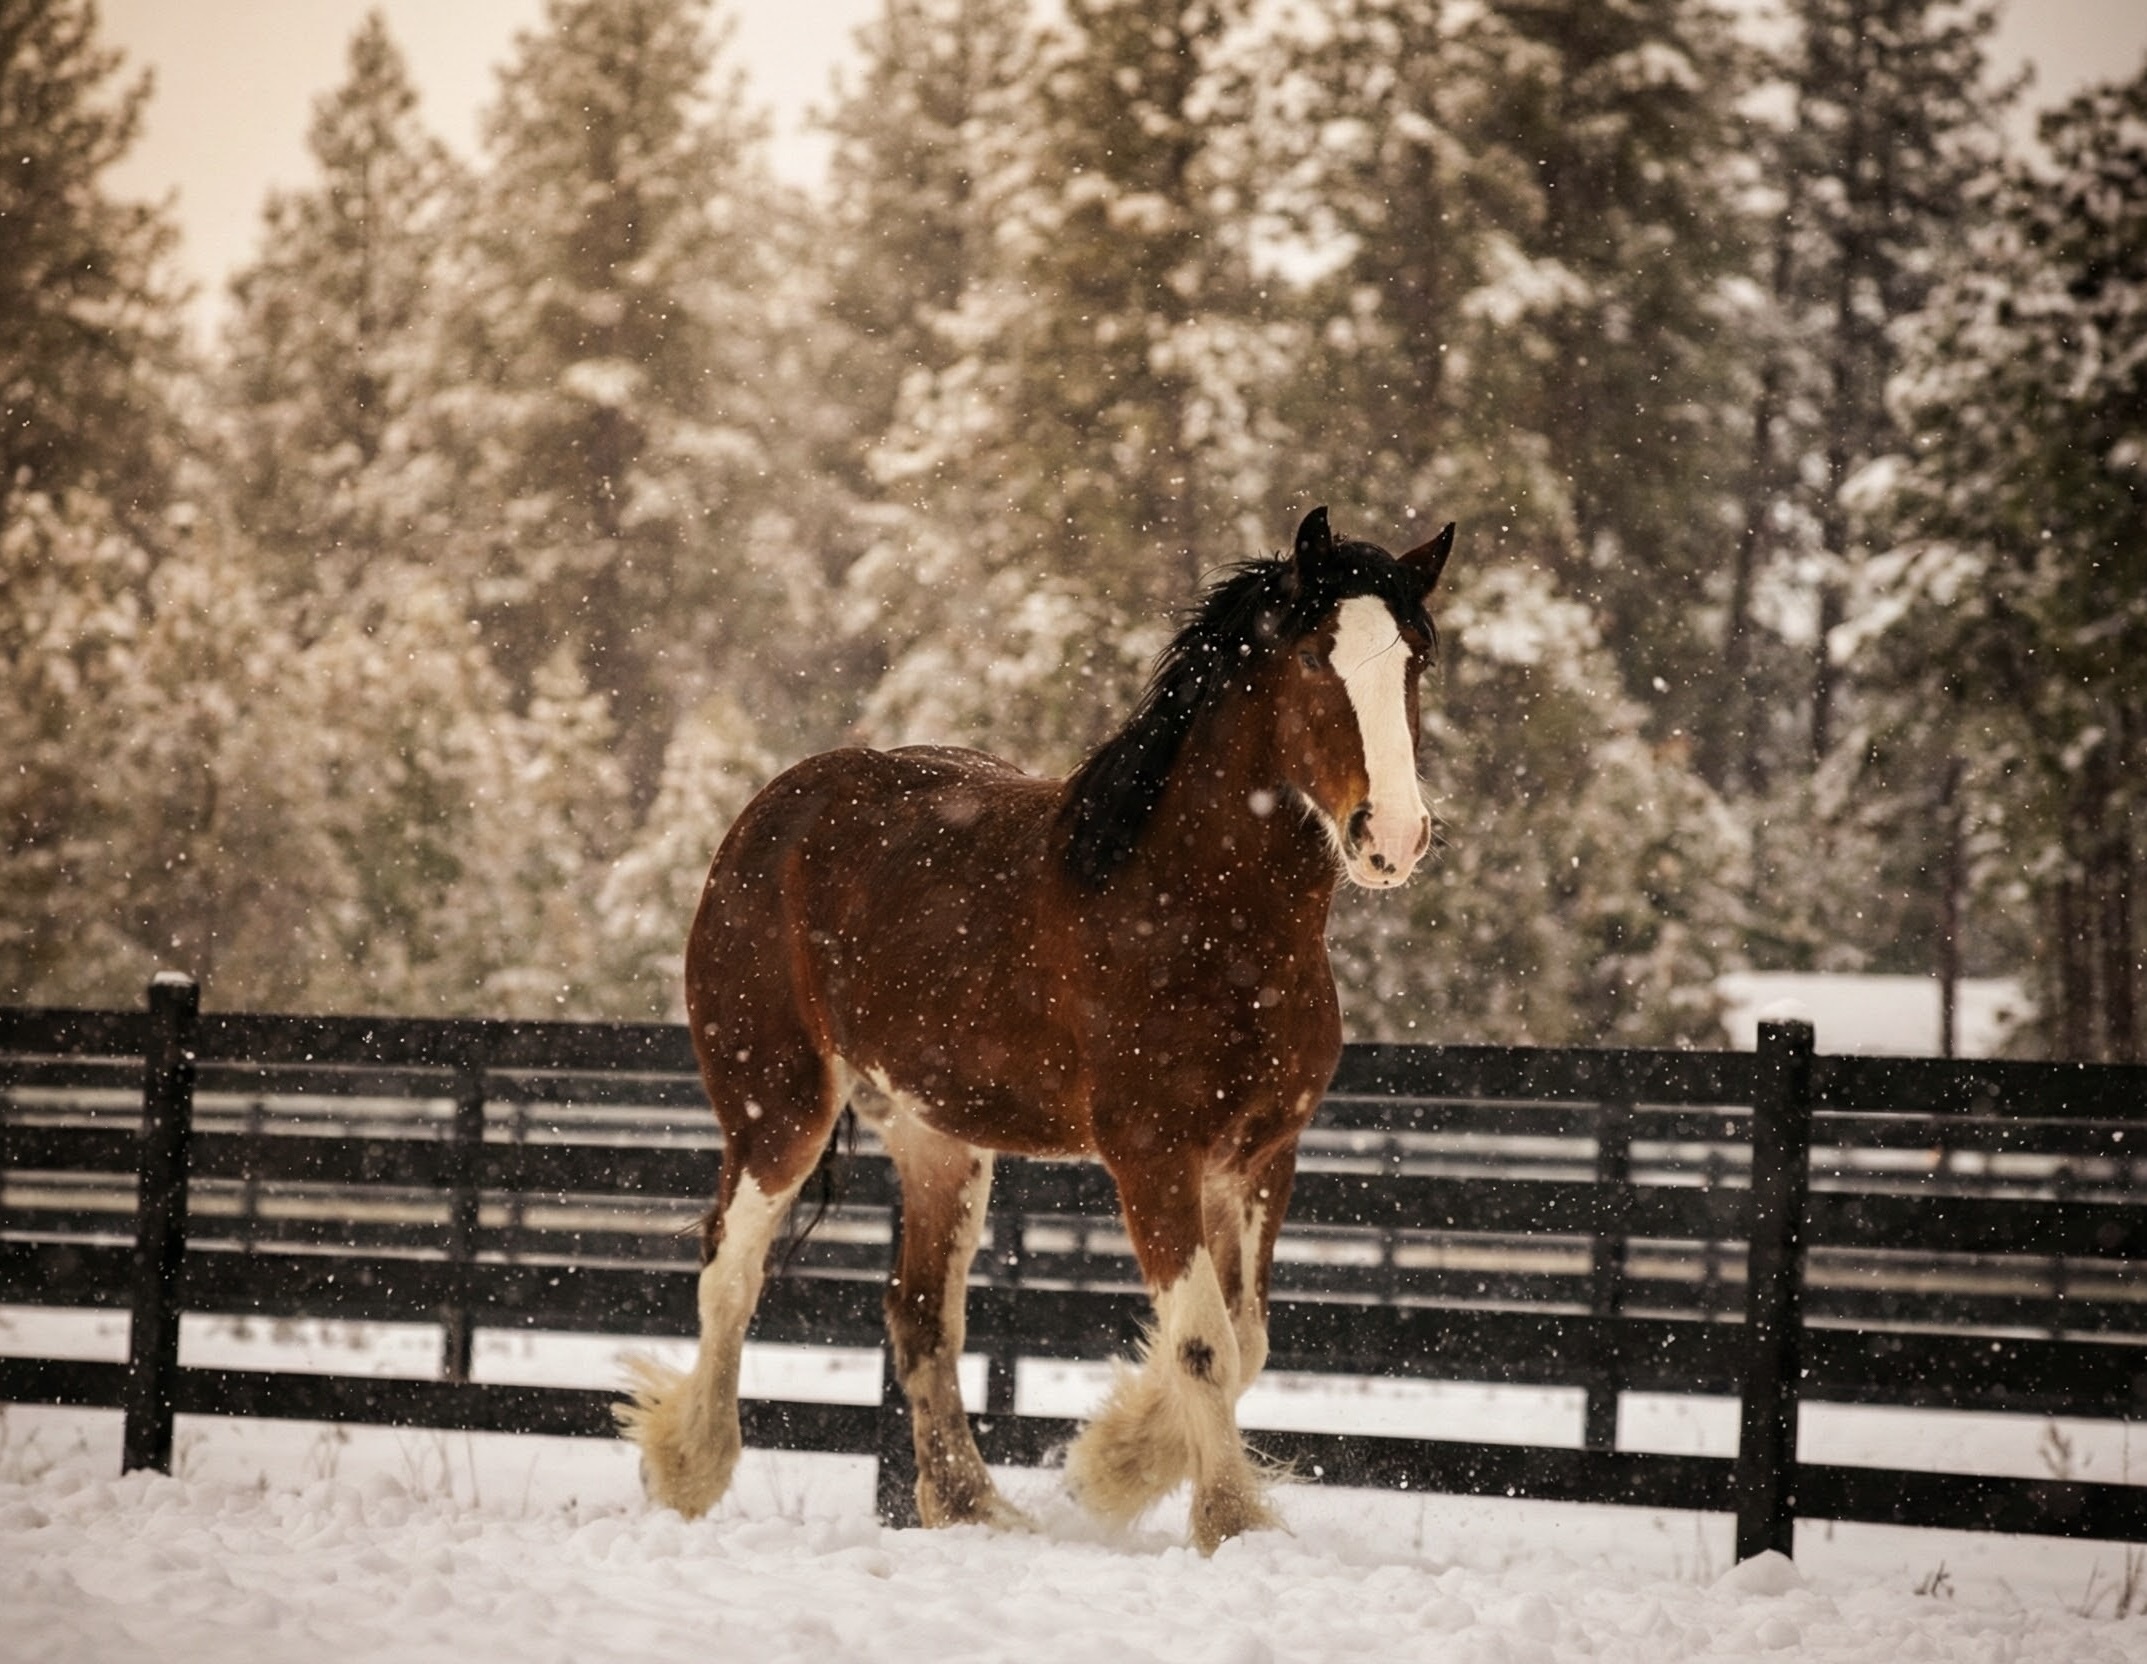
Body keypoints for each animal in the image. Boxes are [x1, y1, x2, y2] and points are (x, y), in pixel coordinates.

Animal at [616, 505, 1455, 1553]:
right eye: (1312, 656)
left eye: (1417, 657)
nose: (1393, 835)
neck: (1197, 915)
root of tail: (766, 817)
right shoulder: (1150, 1155)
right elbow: (1204, 1343)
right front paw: (1222, 1520)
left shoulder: (1261, 1155)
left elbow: (1249, 1336)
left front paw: (1117, 1465)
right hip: (778, 1108)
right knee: (730, 1273)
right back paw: (688, 1469)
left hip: (938, 1138)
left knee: (919, 1316)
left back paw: (968, 1507)